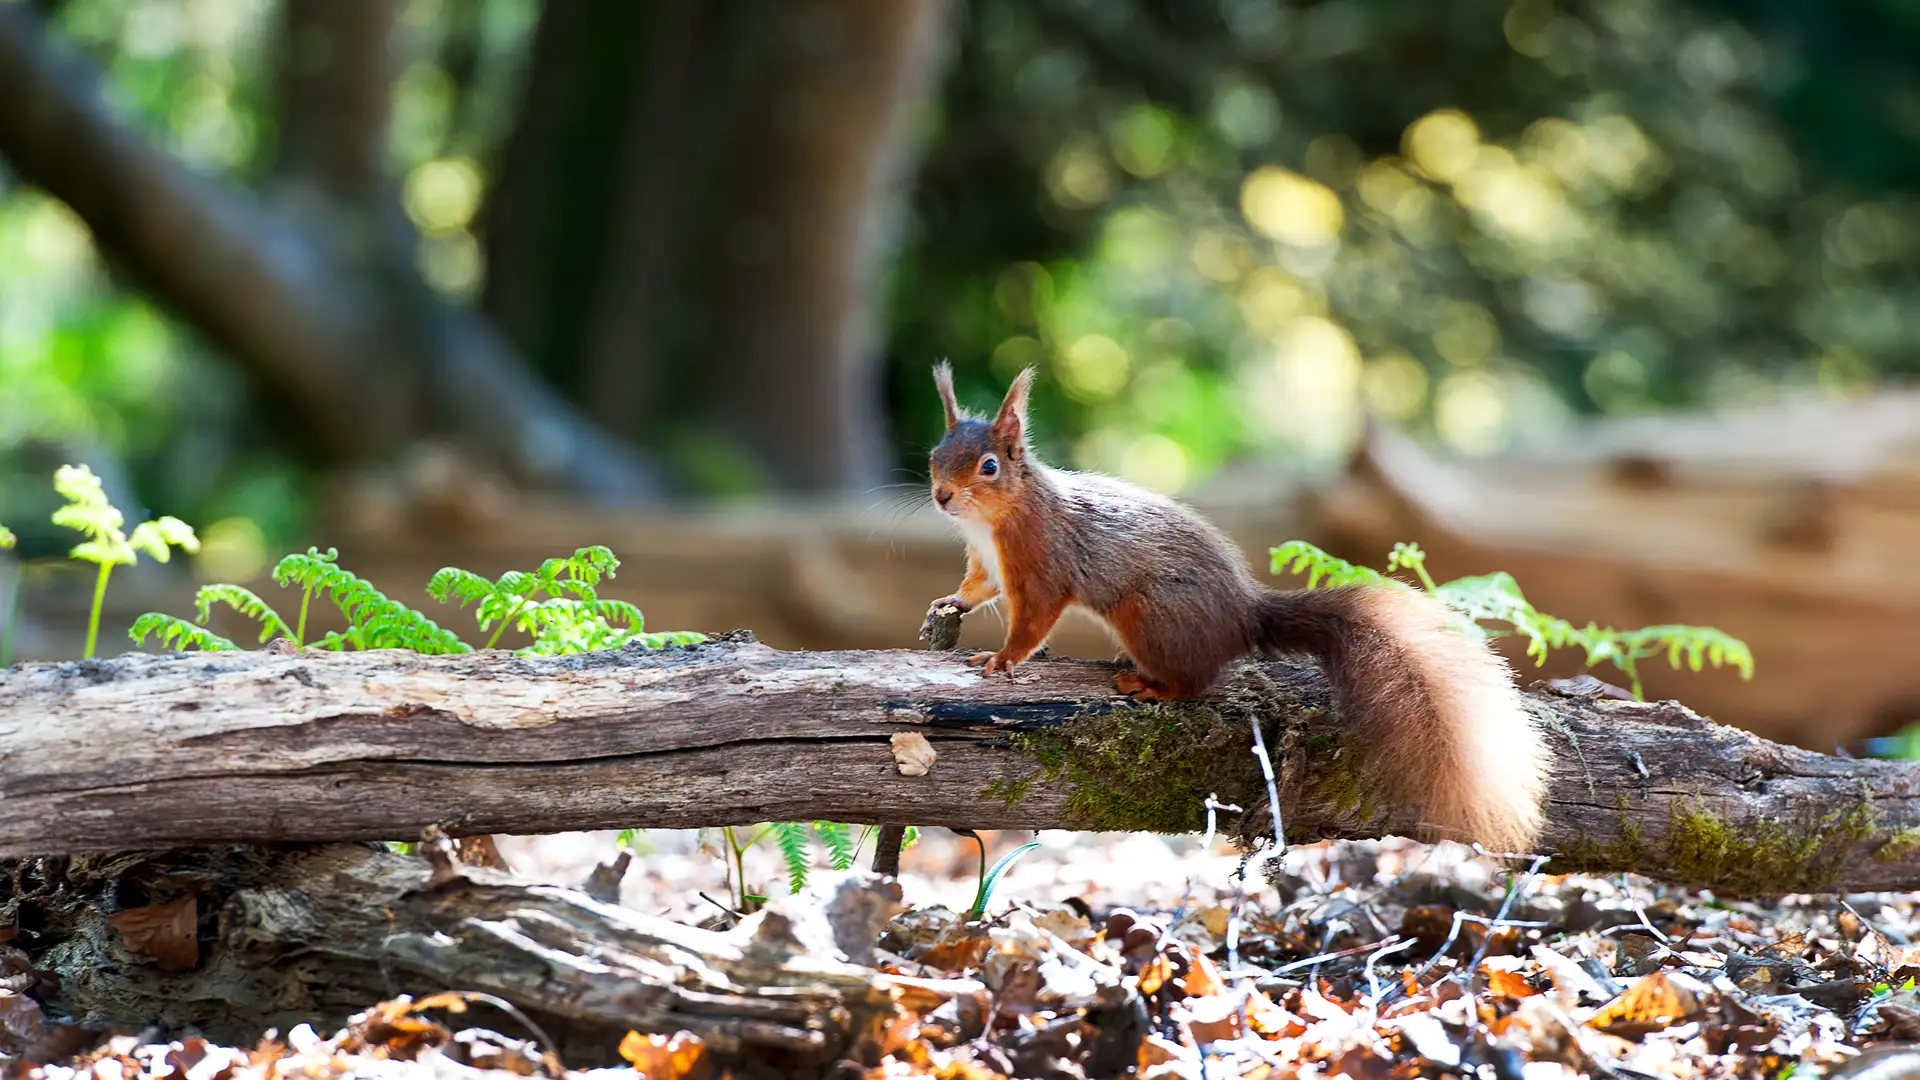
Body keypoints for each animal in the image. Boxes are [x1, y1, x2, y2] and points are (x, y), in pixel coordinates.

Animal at [919, 363, 1551, 852]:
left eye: (989, 467)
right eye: (934, 455)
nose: (942, 497)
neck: (993, 522)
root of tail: (1245, 616)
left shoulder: (1045, 566)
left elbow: (1033, 620)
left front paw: (1004, 659)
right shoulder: (987, 563)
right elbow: (977, 589)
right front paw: (950, 600)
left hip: (1150, 619)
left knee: (1198, 682)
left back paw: (1151, 685)